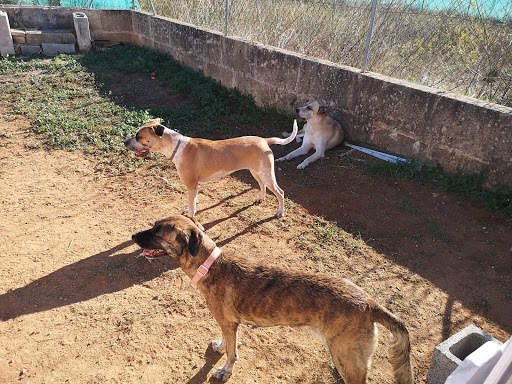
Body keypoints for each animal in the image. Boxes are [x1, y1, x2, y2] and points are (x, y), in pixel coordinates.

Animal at [125, 118, 296, 218]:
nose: (125, 142)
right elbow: (194, 200)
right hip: (256, 172)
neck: (176, 146)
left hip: (267, 174)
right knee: (262, 186)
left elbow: (191, 205)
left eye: (138, 137)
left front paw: (190, 214)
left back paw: (280, 212)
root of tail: (265, 140)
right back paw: (261, 198)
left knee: (280, 192)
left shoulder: (190, 184)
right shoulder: (194, 185)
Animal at [130, 214, 414, 382]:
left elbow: (232, 355)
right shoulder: (228, 324)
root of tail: (368, 303)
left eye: (158, 233)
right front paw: (220, 346)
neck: (209, 264)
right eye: (153, 226)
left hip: (348, 362)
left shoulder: (229, 323)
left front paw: (224, 371)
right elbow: (226, 343)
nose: (132, 236)